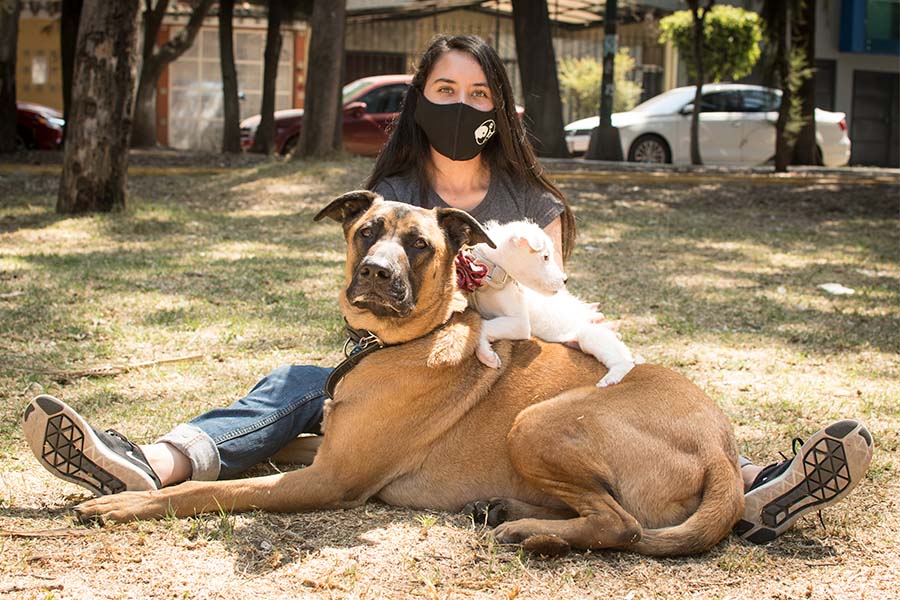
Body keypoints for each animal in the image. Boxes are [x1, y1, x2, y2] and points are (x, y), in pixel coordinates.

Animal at [464, 220, 640, 390]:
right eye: (546, 257)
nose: (565, 280)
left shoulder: (520, 324)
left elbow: (483, 326)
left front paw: (487, 355)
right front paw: (486, 353)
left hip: (591, 334)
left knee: (626, 363)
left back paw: (611, 378)